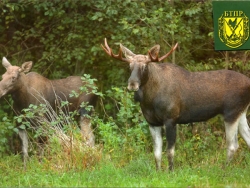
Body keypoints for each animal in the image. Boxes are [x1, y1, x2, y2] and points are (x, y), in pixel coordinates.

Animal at [101, 38, 250, 172]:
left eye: (144, 66)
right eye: (130, 67)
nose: (132, 84)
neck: (150, 100)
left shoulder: (171, 119)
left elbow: (170, 151)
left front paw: (171, 172)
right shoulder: (152, 122)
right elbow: (156, 152)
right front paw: (158, 172)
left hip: (231, 112)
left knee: (233, 145)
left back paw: (223, 171)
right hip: (241, 112)